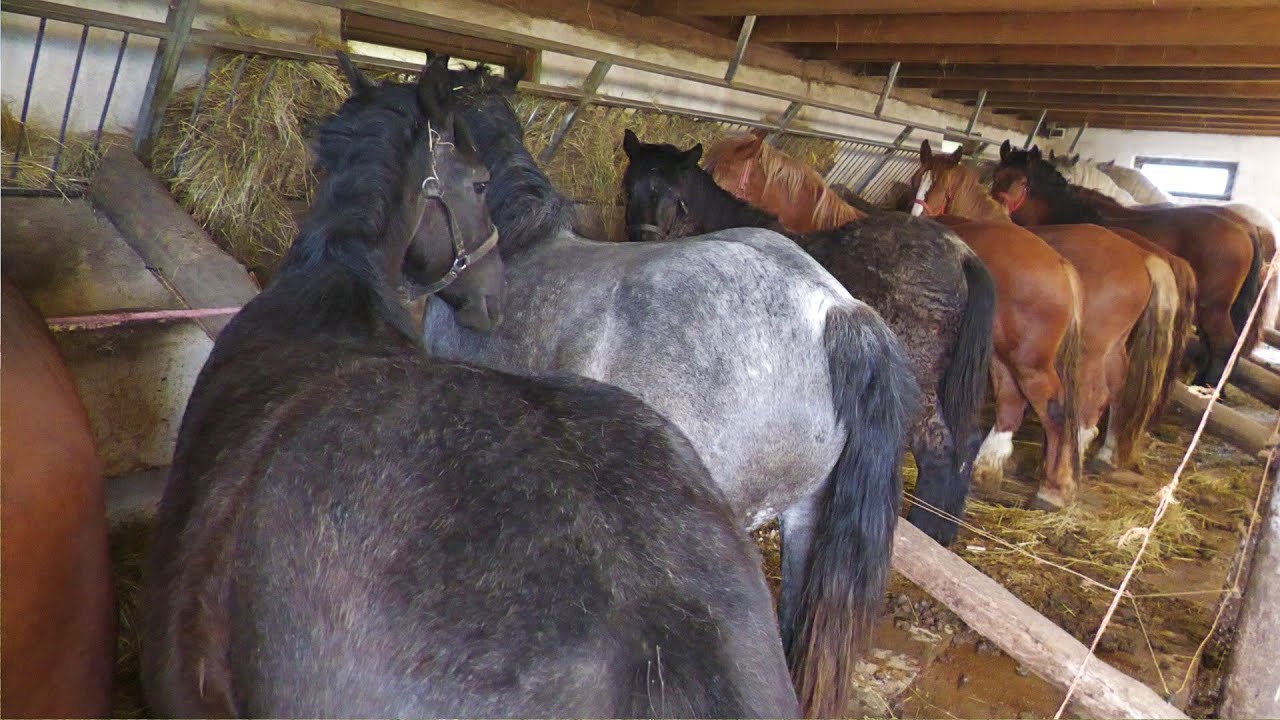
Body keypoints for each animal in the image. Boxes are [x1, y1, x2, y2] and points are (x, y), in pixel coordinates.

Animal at [992, 141, 1262, 388]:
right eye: (996, 176)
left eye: (1023, 183)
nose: (994, 205)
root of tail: (1246, 230)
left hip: (1213, 309)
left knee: (1225, 345)